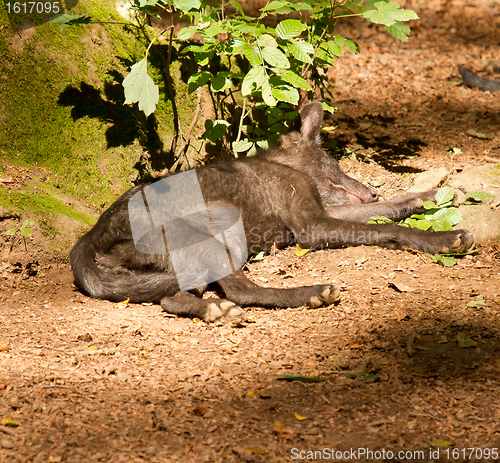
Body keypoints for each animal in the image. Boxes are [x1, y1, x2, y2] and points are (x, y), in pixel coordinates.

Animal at [69, 104, 472, 324]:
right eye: (337, 163)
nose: (372, 189)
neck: (282, 165)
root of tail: (88, 237)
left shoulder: (323, 212)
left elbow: (385, 210)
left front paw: (432, 195)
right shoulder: (310, 225)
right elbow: (391, 230)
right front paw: (444, 238)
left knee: (174, 298)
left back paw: (214, 310)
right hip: (222, 230)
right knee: (241, 291)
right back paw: (311, 293)